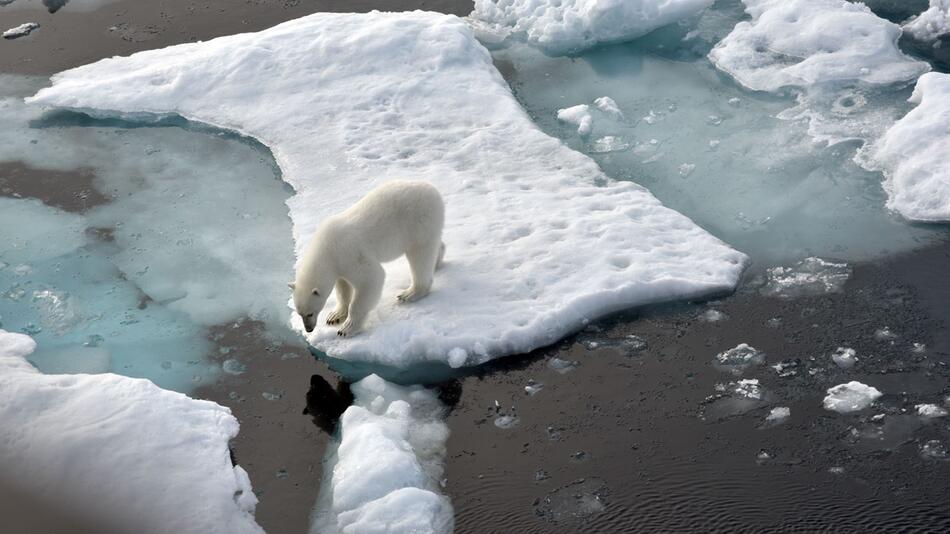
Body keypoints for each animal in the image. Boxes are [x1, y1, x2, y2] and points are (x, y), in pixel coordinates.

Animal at [290, 182, 446, 338]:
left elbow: (371, 278)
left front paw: (347, 328)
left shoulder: (350, 253)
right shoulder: (339, 264)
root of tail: (433, 190)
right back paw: (437, 261)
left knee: (420, 255)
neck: (326, 248)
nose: (309, 329)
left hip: (419, 221)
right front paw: (334, 316)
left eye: (310, 313)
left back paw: (410, 293)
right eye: (299, 313)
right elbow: (343, 287)